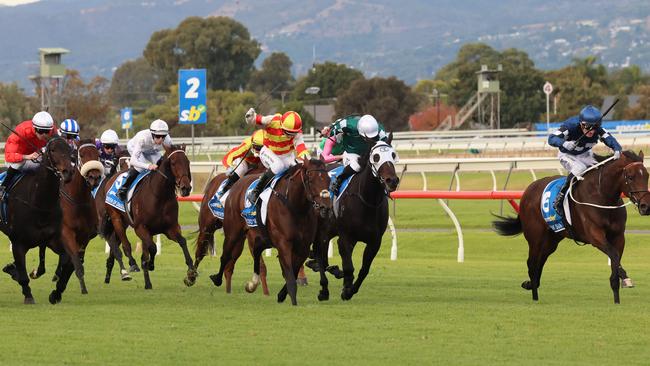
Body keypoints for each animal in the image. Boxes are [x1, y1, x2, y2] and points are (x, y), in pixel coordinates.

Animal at [102, 144, 195, 290]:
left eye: (188, 162)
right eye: (173, 163)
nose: (186, 188)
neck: (160, 196)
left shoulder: (170, 228)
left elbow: (182, 241)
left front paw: (191, 273)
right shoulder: (141, 228)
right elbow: (152, 248)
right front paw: (150, 265)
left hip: (124, 222)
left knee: (115, 244)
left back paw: (114, 275)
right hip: (116, 218)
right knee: (125, 244)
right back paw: (131, 265)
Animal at [187, 166, 268, 294]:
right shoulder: (252, 235)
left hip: (237, 235)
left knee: (230, 264)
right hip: (207, 226)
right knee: (201, 251)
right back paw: (191, 277)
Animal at [209, 159, 330, 304]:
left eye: (329, 179)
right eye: (311, 180)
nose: (326, 206)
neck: (295, 207)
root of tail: (238, 183)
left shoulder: (303, 247)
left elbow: (294, 271)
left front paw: (282, 295)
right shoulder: (283, 243)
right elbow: (290, 274)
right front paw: (293, 301)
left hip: (262, 237)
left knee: (256, 251)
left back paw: (252, 283)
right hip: (233, 232)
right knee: (225, 255)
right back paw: (217, 278)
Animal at [310, 139, 398, 302]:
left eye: (393, 154)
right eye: (376, 157)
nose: (392, 181)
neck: (367, 201)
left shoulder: (374, 241)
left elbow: (364, 269)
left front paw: (349, 289)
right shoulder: (345, 237)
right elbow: (349, 267)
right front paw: (345, 289)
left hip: (328, 231)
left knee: (323, 258)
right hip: (319, 231)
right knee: (320, 256)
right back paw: (324, 289)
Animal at [492, 150, 648, 304]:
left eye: (647, 175)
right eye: (630, 177)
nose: (646, 206)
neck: (602, 196)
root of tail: (528, 190)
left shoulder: (618, 236)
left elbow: (615, 258)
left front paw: (618, 294)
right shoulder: (595, 236)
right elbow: (614, 255)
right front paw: (623, 281)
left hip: (551, 240)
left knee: (540, 262)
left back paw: (531, 285)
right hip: (535, 238)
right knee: (532, 264)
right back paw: (534, 296)